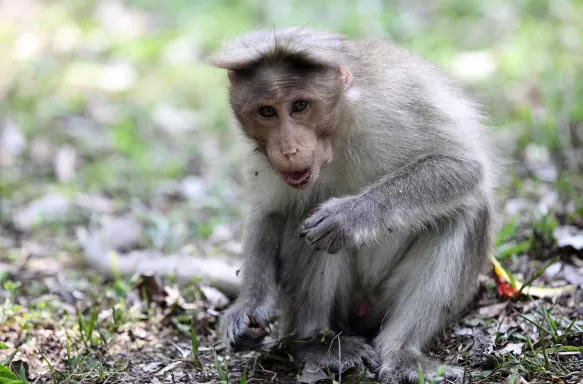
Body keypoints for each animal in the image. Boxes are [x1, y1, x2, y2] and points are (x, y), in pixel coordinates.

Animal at [205, 27, 498, 384]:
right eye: (267, 112)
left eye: (300, 106)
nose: (288, 149)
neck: (340, 125)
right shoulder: (265, 159)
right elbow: (270, 213)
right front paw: (249, 307)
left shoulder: (393, 105)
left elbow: (463, 166)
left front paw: (350, 217)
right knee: (305, 211)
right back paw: (315, 342)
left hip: (386, 299)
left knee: (467, 210)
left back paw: (401, 351)